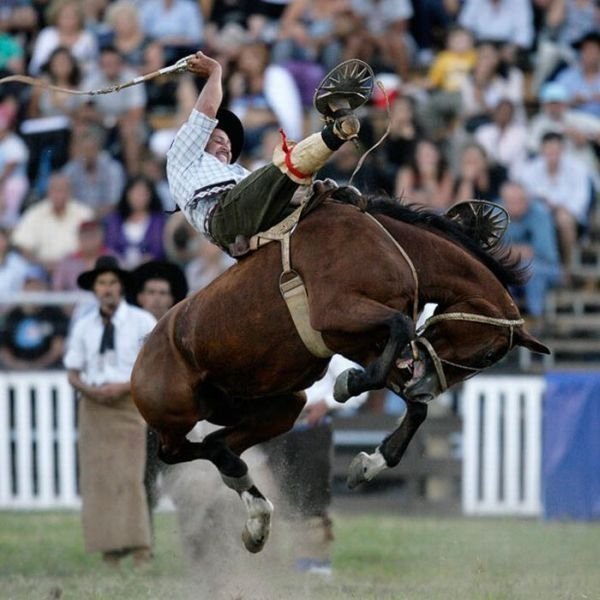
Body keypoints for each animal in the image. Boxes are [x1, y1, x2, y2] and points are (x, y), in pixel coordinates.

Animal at [131, 190, 548, 552]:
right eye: (490, 352)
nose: (428, 387)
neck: (396, 248)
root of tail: (146, 350)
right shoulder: (337, 314)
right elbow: (400, 327)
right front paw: (350, 385)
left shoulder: (366, 344)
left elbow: (412, 402)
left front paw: (369, 462)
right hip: (178, 412)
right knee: (177, 451)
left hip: (280, 406)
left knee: (219, 444)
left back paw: (255, 513)